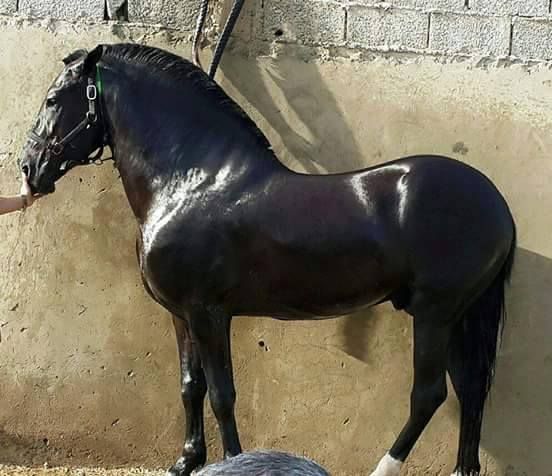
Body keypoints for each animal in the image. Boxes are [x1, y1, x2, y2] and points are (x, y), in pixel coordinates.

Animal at [19, 44, 516, 476]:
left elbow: (222, 394)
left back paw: (384, 467)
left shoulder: (208, 312)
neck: (189, 179)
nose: (29, 169)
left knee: (429, 394)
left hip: (435, 313)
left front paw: (231, 461)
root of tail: (495, 204)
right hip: (462, 316)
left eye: (52, 99)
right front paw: (185, 462)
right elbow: (190, 386)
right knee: (471, 390)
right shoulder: (181, 315)